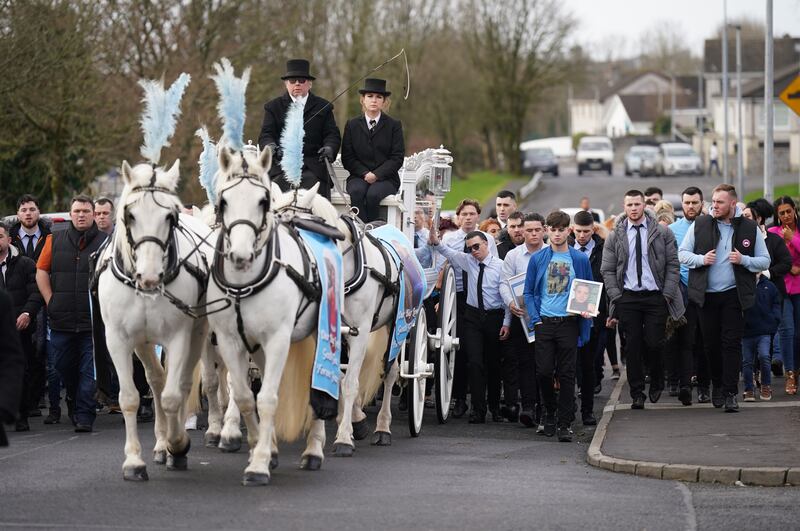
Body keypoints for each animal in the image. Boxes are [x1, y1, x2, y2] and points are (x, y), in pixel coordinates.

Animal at [95, 159, 214, 482]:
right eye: (129, 214)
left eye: (171, 216)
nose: (149, 277)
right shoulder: (119, 339)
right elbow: (130, 397)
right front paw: (134, 461)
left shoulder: (179, 335)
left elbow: (174, 396)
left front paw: (178, 444)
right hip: (144, 342)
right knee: (156, 380)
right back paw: (160, 444)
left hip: (199, 332)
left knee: (184, 383)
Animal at [206, 144, 334, 486]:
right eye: (223, 201)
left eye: (262, 201)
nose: (240, 255)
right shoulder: (231, 340)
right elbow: (244, 396)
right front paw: (260, 448)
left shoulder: (278, 339)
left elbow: (267, 398)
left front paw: (260, 464)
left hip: (322, 331)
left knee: (323, 384)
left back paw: (314, 450)